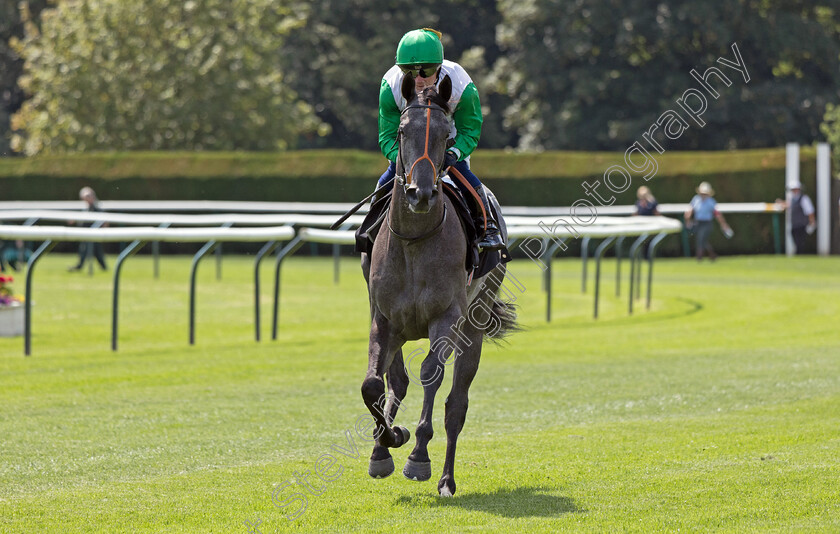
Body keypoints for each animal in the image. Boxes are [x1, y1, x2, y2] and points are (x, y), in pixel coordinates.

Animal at [360, 74, 520, 498]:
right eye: (402, 130)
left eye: (448, 135)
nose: (421, 193)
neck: (415, 241)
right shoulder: (383, 317)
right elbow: (373, 384)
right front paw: (387, 442)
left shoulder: (446, 317)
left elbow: (432, 373)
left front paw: (417, 456)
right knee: (396, 380)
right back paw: (383, 445)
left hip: (474, 324)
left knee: (456, 405)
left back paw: (446, 478)